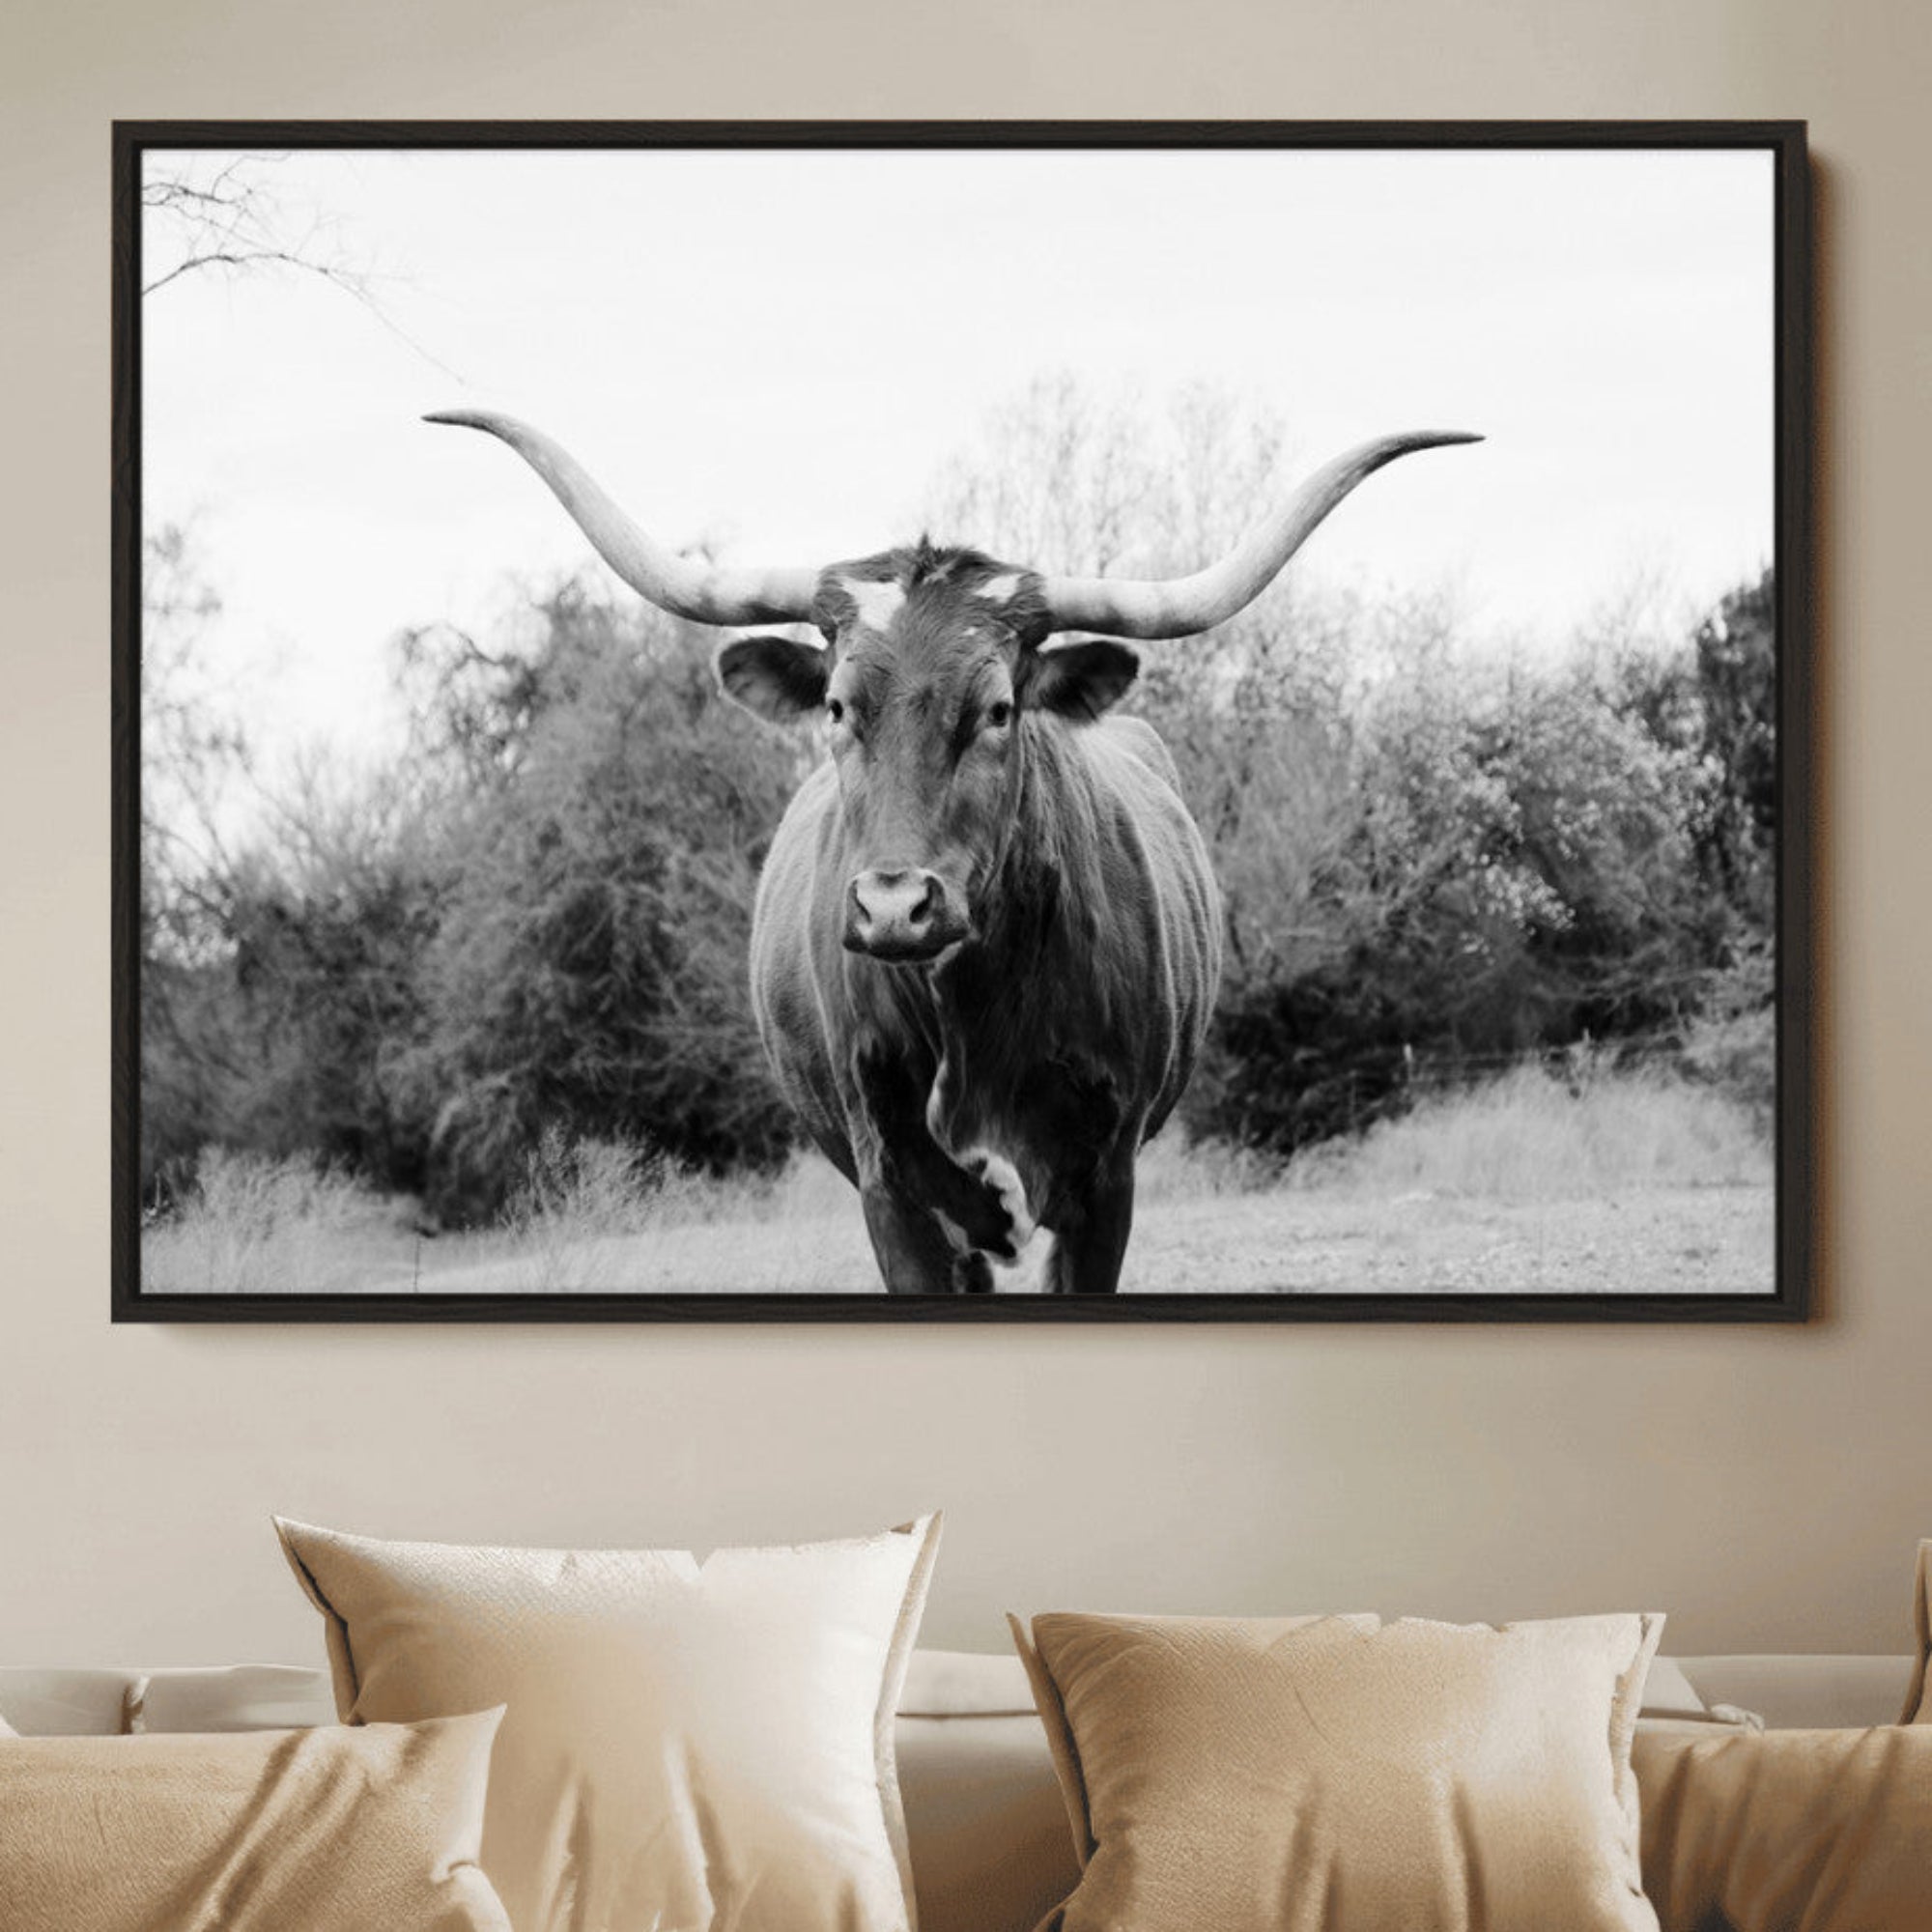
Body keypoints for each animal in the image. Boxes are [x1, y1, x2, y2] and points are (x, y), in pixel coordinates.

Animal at [427, 409, 1478, 1293]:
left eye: (999, 708)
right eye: (836, 705)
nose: (895, 905)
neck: (970, 1007)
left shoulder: (1104, 1181)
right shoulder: (889, 1182)